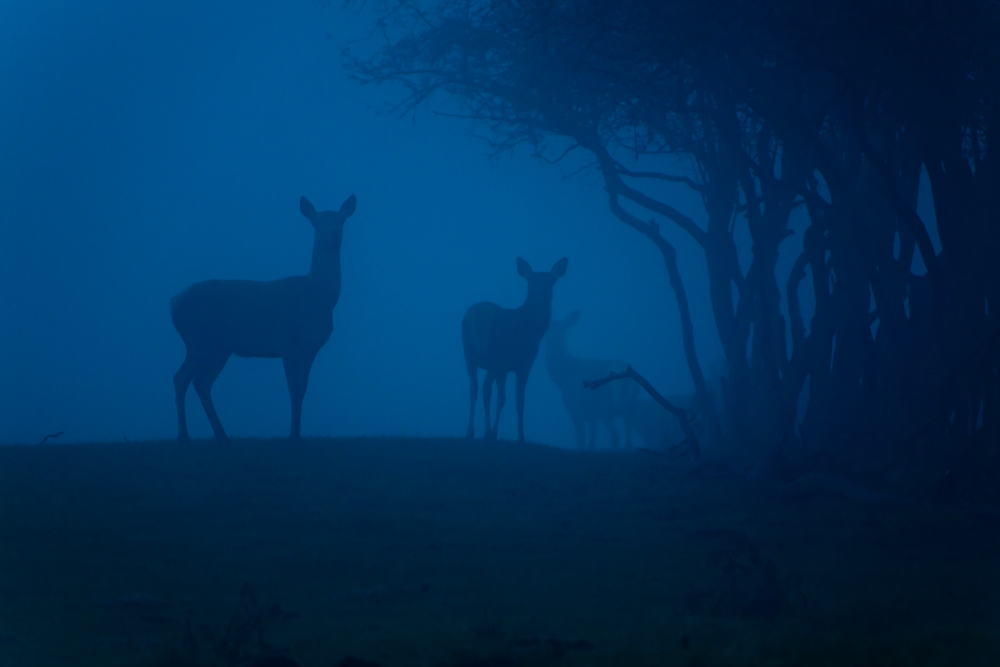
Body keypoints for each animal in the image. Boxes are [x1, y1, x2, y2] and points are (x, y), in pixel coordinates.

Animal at [171, 193, 356, 444]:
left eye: (341, 220)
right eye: (316, 222)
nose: (332, 234)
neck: (316, 299)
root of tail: (173, 302)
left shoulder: (311, 348)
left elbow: (302, 390)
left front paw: (298, 435)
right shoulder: (288, 341)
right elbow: (293, 390)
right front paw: (292, 436)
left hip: (219, 348)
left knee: (202, 383)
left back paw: (222, 435)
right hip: (197, 339)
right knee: (180, 379)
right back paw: (183, 436)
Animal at [462, 256, 568, 444]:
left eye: (551, 281)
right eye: (532, 282)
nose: (541, 296)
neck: (532, 332)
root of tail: (476, 315)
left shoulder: (507, 368)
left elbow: (506, 399)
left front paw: (499, 433)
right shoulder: (523, 363)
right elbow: (517, 400)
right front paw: (519, 437)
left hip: (469, 352)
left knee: (474, 388)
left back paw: (471, 431)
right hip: (494, 356)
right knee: (485, 388)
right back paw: (485, 432)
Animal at [544, 312, 636, 448]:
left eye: (561, 329)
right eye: (549, 327)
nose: (553, 338)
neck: (562, 378)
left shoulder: (576, 409)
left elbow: (582, 440)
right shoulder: (591, 414)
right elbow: (591, 440)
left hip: (606, 406)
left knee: (615, 435)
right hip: (629, 407)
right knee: (628, 438)